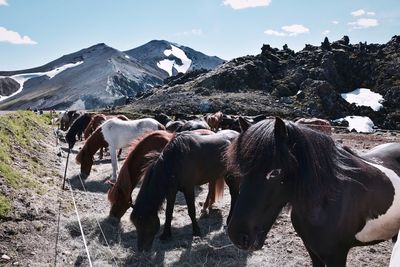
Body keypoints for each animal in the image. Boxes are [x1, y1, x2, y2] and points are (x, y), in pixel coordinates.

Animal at [227, 118, 400, 266]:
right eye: (241, 169)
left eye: (275, 172)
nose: (237, 235)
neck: (326, 205)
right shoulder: (311, 249)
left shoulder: (336, 255)